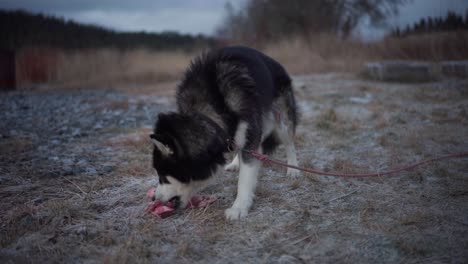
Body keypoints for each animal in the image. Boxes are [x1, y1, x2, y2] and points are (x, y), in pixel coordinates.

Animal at [150, 46, 300, 221]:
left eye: (162, 175)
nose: (154, 198)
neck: (212, 111)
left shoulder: (250, 133)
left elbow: (245, 178)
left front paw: (239, 207)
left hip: (282, 118)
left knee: (289, 142)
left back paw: (294, 169)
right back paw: (236, 163)